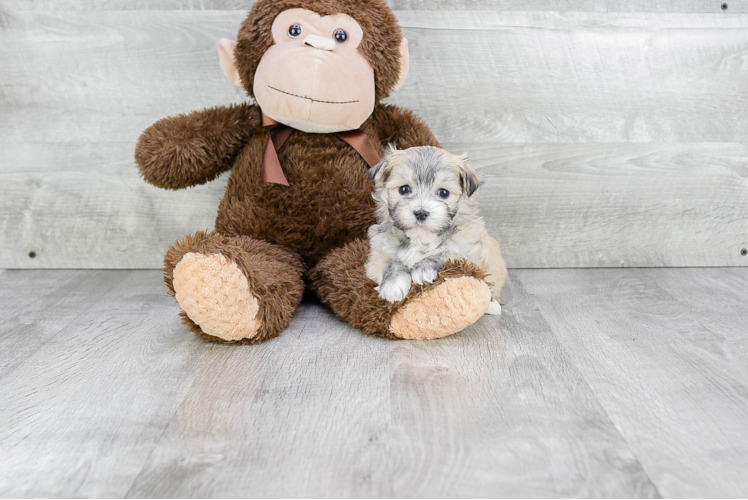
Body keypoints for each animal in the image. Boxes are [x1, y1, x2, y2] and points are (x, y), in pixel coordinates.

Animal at [364, 145, 506, 314]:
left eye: (443, 192)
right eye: (404, 189)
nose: (421, 213)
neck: (420, 238)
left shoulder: (468, 247)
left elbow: (447, 252)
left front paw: (424, 268)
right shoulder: (378, 252)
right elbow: (389, 262)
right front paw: (393, 283)